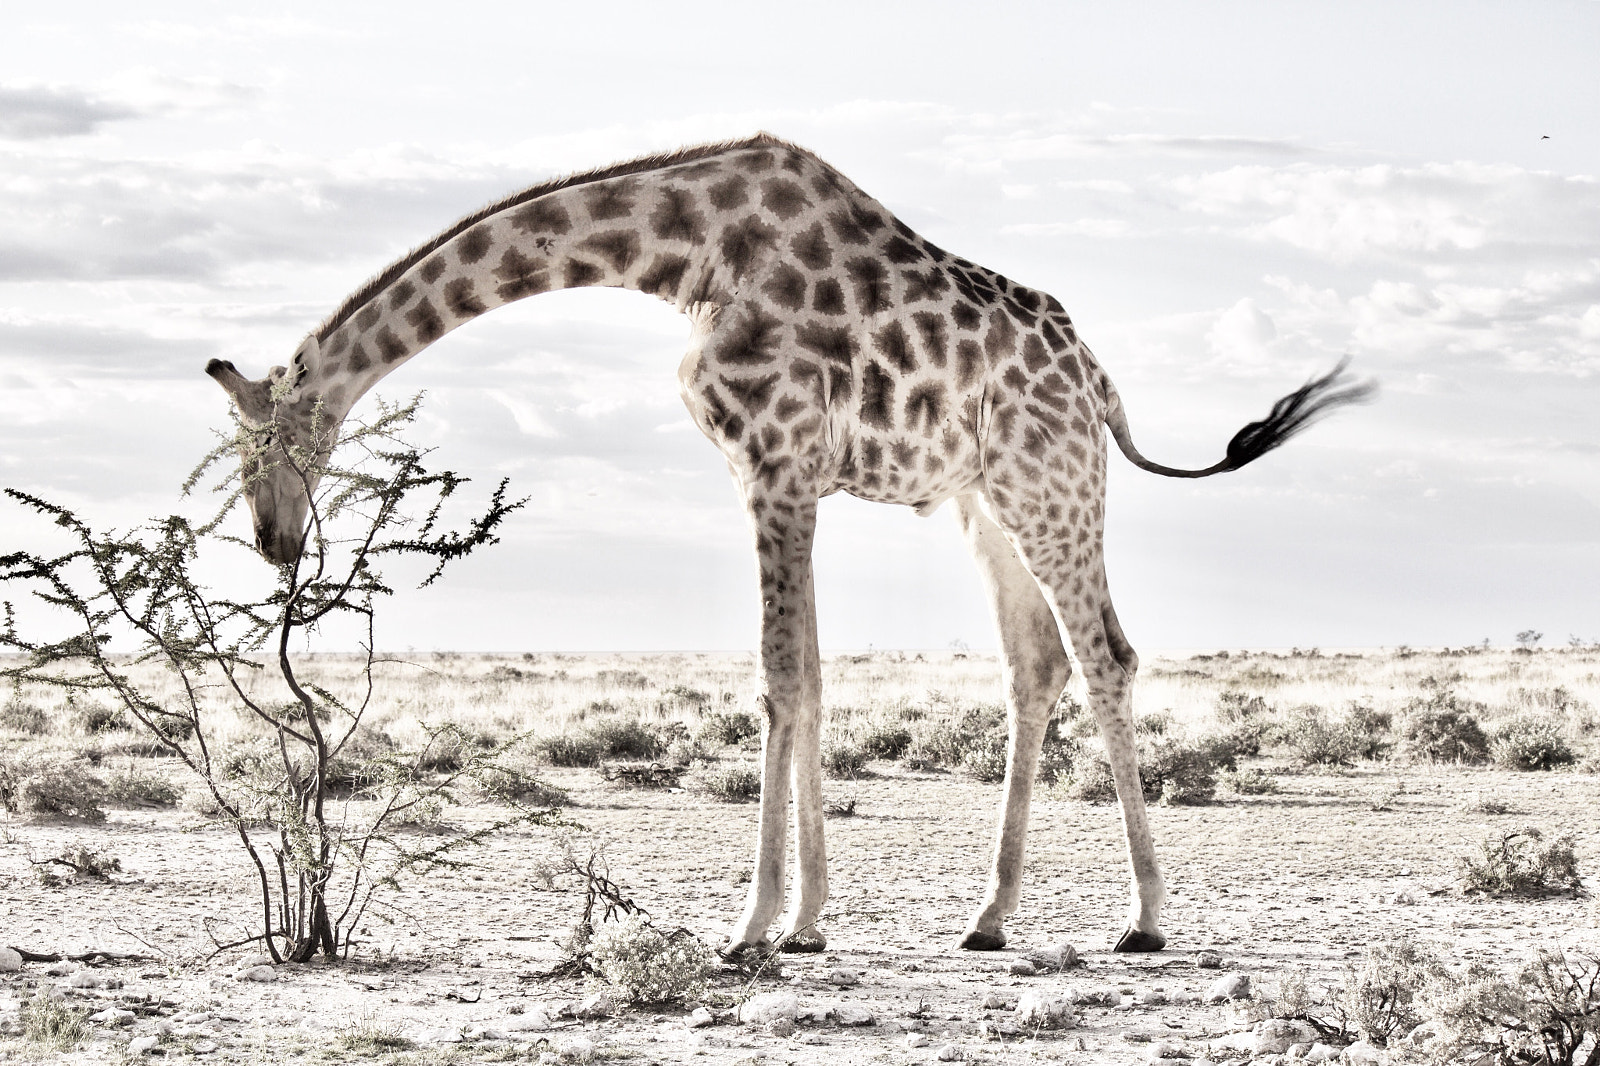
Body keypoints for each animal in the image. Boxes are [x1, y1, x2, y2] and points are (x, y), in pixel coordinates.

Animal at [206, 133, 1371, 955]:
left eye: (277, 440)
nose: (271, 541)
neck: (680, 255)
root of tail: (1098, 381)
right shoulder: (780, 473)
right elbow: (809, 674)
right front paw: (807, 920)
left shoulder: (774, 460)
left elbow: (778, 675)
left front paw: (753, 925)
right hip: (982, 501)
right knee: (1034, 663)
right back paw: (988, 916)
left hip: (1050, 484)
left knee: (1108, 655)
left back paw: (1142, 918)